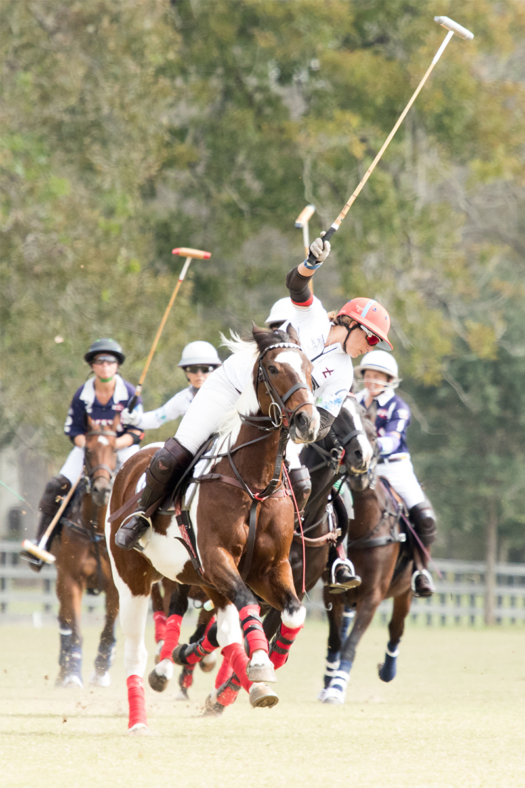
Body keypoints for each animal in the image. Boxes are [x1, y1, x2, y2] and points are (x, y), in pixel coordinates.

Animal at [53, 416, 121, 688]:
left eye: (115, 449)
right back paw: (63, 671)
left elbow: (108, 632)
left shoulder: (115, 587)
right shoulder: (71, 580)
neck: (95, 528)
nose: (102, 490)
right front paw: (72, 673)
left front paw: (100, 671)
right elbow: (76, 631)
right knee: (64, 621)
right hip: (60, 581)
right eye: (88, 451)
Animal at [107, 324, 316, 732]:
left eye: (309, 368)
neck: (255, 483)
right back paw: (139, 719)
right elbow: (248, 605)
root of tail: (131, 462)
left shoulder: (271, 568)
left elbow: (293, 613)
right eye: (274, 368)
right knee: (135, 651)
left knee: (226, 630)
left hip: (204, 581)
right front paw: (261, 664)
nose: (308, 422)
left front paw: (268, 665)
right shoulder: (218, 558)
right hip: (133, 580)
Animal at [316, 404, 418, 704]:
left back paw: (387, 670)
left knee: (396, 630)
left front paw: (336, 688)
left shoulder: (374, 595)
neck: (363, 527)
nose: (360, 468)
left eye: (374, 436)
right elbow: (336, 641)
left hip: (405, 592)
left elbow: (351, 644)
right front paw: (328, 682)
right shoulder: (332, 592)